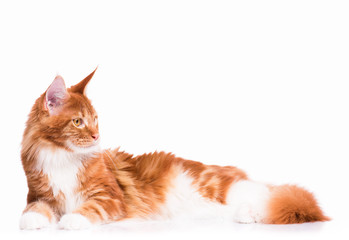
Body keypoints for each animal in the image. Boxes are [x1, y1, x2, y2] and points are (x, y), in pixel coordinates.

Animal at [19, 68, 328, 230]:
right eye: (78, 121)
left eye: (96, 120)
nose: (96, 136)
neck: (60, 156)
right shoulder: (40, 194)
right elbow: (34, 209)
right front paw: (33, 220)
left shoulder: (110, 197)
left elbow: (89, 208)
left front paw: (71, 221)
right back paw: (244, 216)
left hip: (223, 187)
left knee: (269, 197)